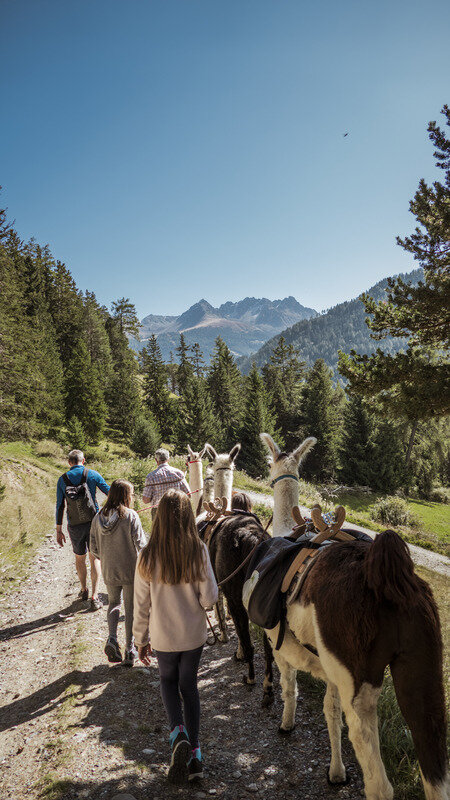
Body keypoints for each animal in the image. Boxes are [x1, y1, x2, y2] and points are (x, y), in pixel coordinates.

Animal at [260, 432, 449, 800]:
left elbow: (290, 686)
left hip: (358, 673)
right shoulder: (329, 668)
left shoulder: (284, 648)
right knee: (436, 772)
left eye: (270, 462)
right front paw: (336, 772)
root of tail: (388, 575)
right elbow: (330, 712)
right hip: (424, 664)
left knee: (379, 781)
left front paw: (286, 724)